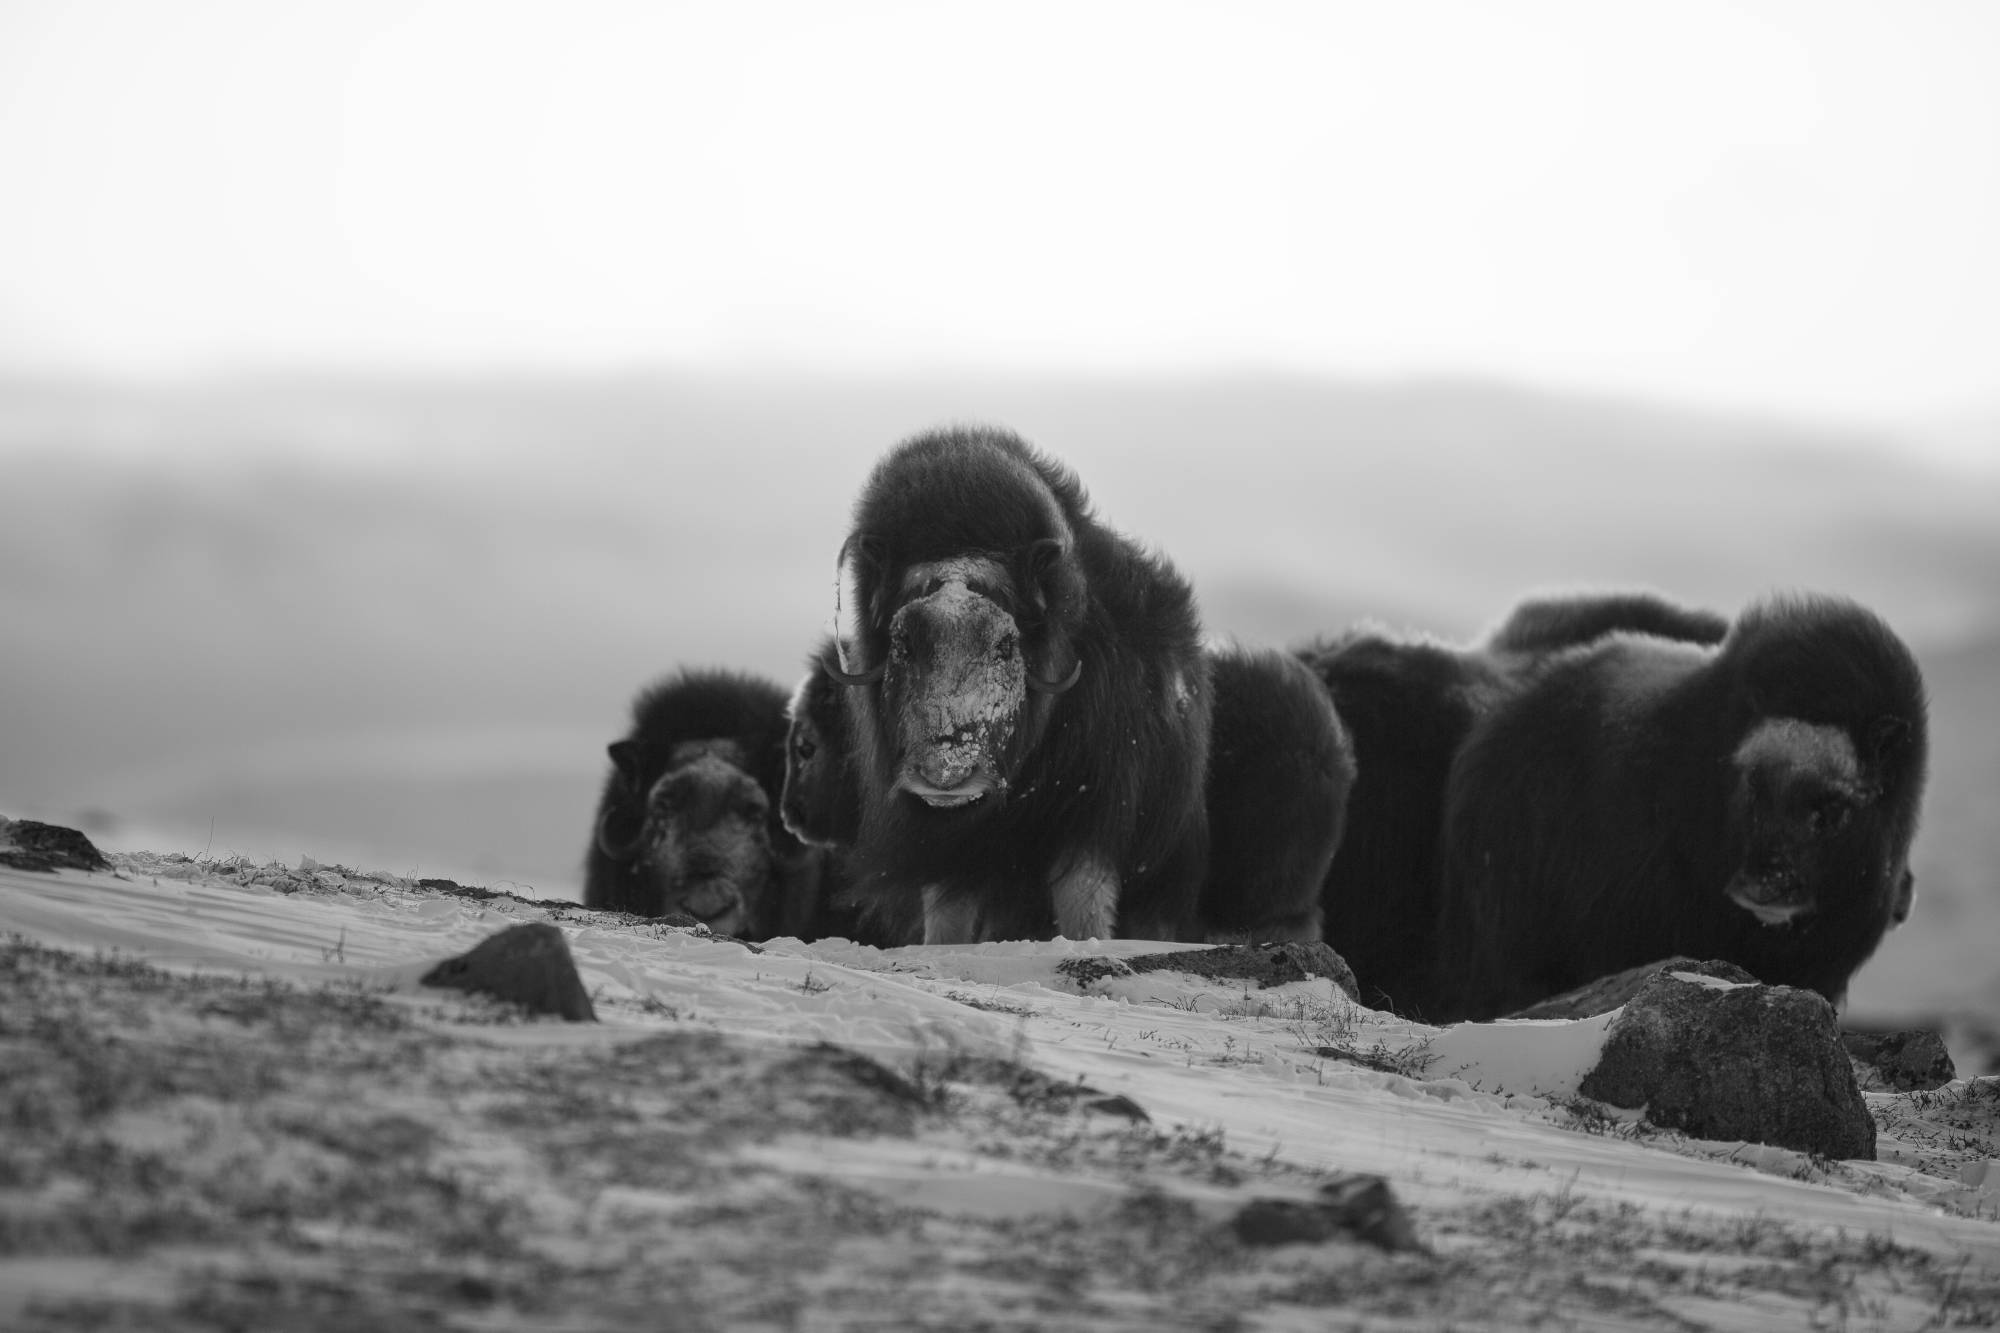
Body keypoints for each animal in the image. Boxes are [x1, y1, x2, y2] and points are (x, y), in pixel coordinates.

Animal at [824, 422, 1200, 932]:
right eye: (904, 643)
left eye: (1005, 645)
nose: (947, 776)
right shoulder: (945, 851)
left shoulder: (1095, 816)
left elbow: (1084, 901)